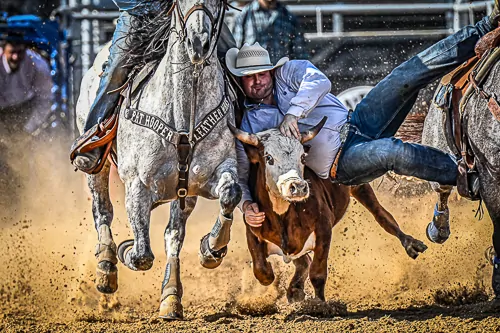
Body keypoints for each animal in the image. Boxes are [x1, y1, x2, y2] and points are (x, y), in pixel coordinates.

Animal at [75, 0, 243, 320]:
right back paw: (106, 268)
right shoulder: (137, 187)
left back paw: (171, 297)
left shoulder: (214, 173)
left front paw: (211, 249)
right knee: (102, 210)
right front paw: (126, 251)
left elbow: (231, 194)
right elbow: (141, 254)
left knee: (173, 235)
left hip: (184, 193)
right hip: (96, 167)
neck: (183, 110)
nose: (198, 43)